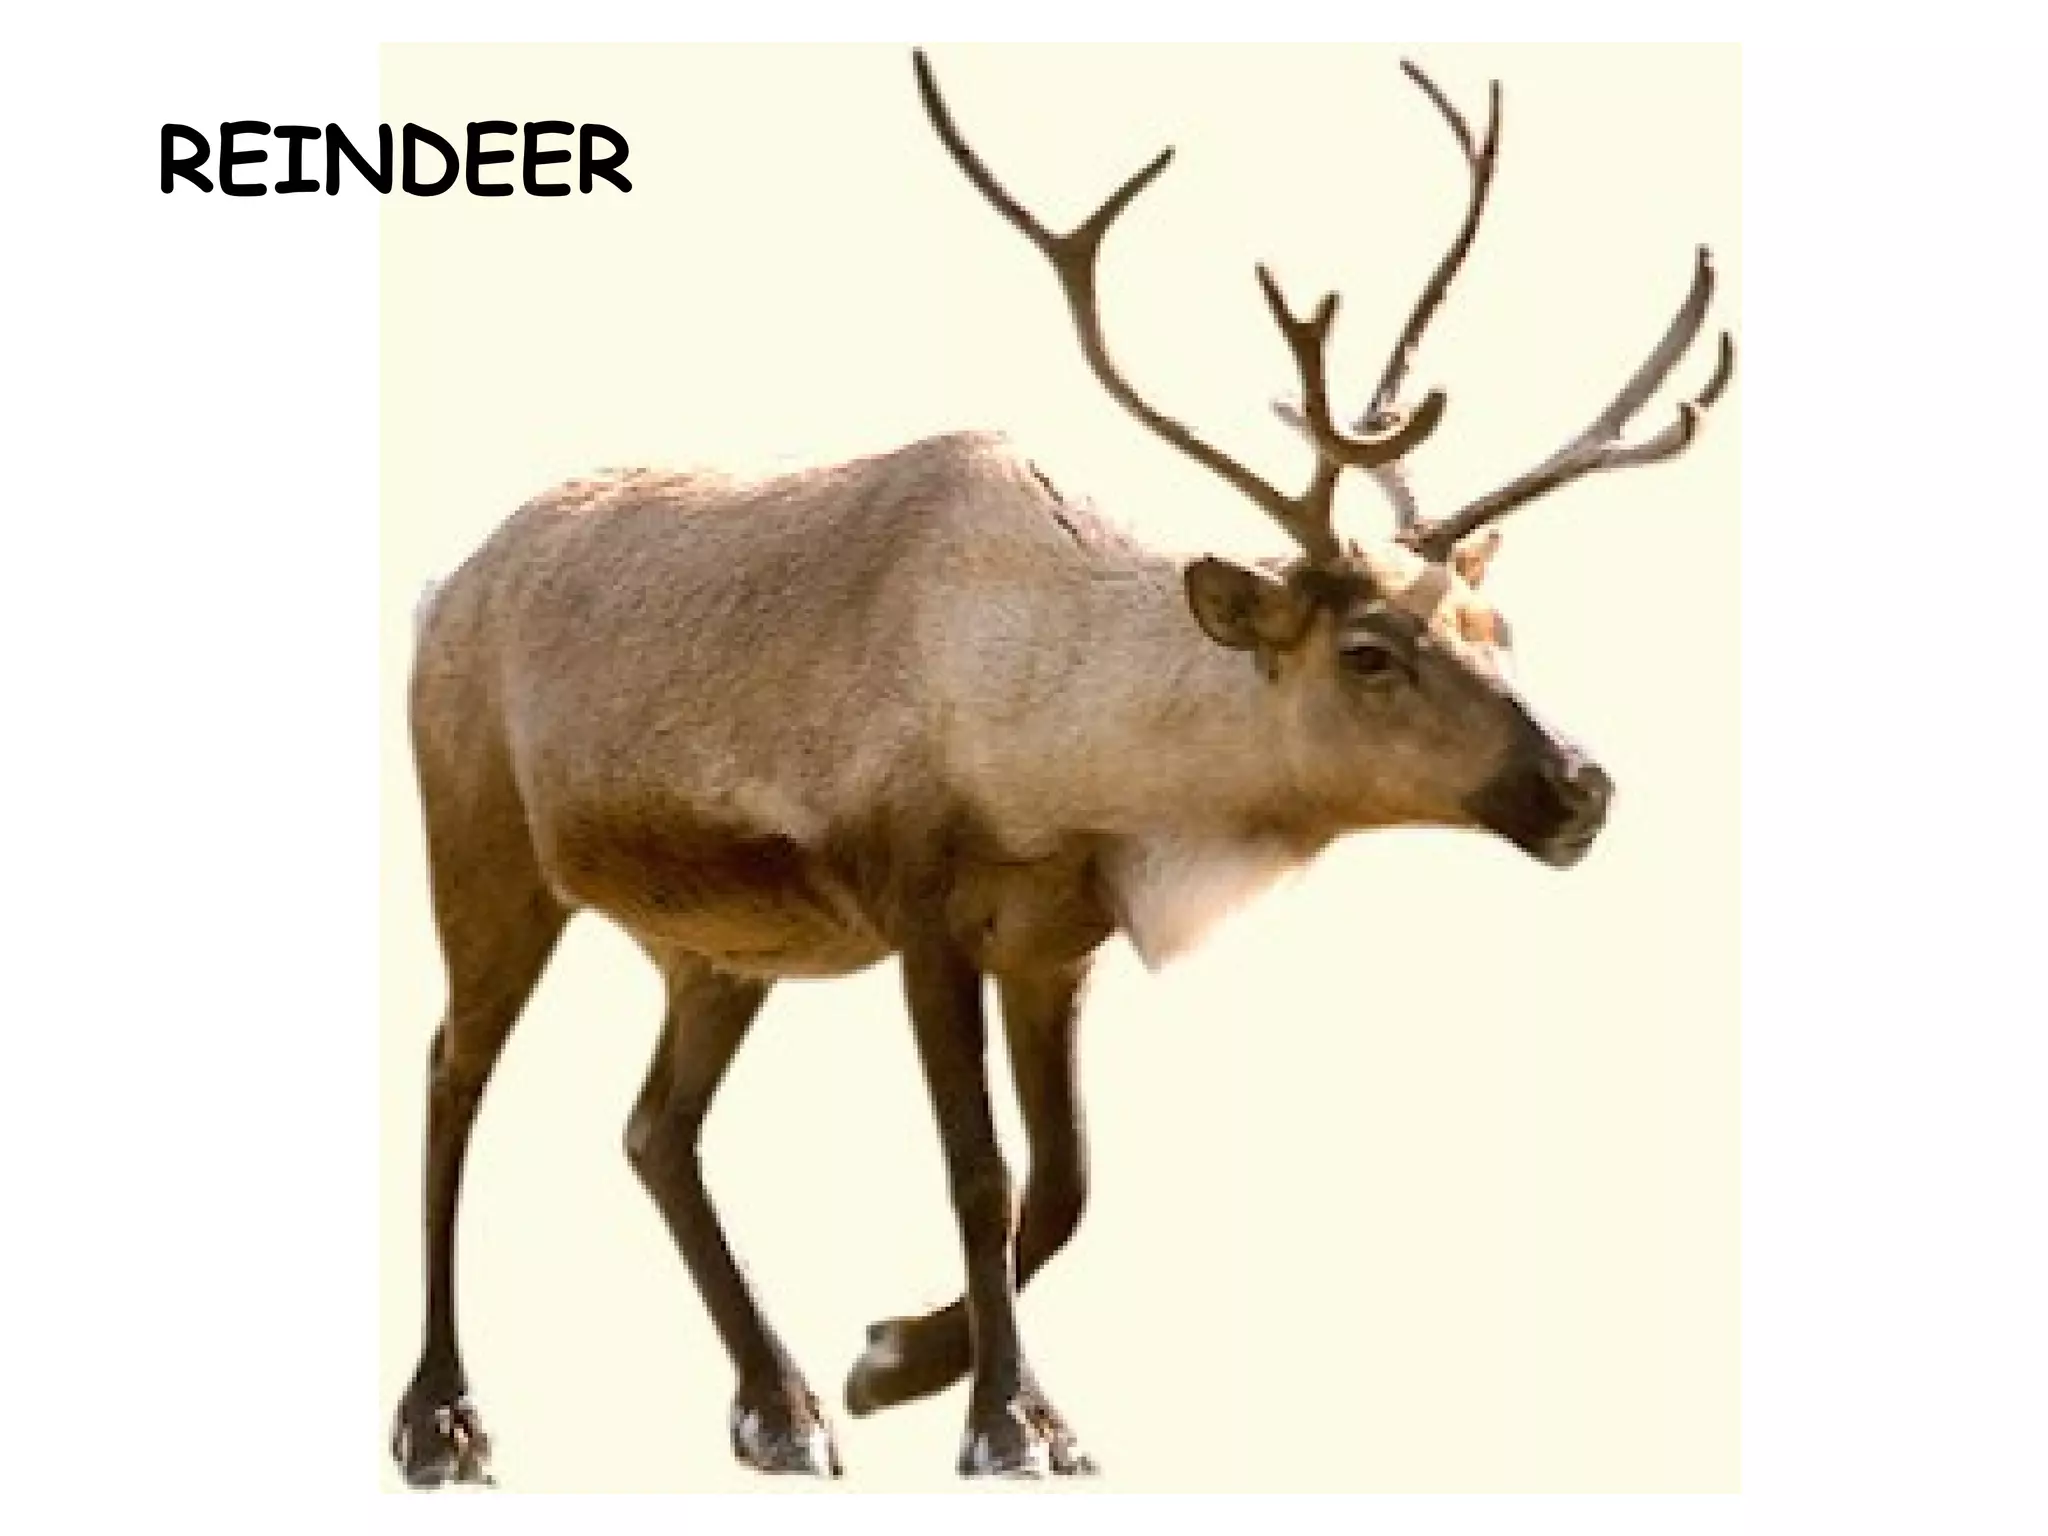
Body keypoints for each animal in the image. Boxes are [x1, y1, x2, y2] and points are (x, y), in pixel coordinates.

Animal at [389, 48, 1735, 1487]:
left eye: (1498, 624)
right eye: (1370, 651)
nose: (1581, 784)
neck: (1068, 751)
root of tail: (440, 586)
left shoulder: (1053, 939)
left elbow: (1069, 1181)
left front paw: (894, 1361)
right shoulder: (920, 908)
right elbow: (979, 1172)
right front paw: (1007, 1422)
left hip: (719, 942)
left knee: (657, 1129)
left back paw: (781, 1405)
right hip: (483, 847)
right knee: (451, 1074)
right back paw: (442, 1418)